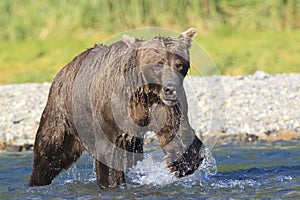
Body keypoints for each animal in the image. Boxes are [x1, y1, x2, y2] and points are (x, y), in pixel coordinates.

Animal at [29, 28, 204, 189]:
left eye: (179, 64)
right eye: (157, 64)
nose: (171, 89)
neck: (142, 94)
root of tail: (63, 70)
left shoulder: (158, 106)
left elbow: (174, 129)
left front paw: (182, 163)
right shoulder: (111, 114)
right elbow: (108, 156)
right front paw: (112, 183)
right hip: (62, 116)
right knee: (49, 154)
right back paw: (36, 181)